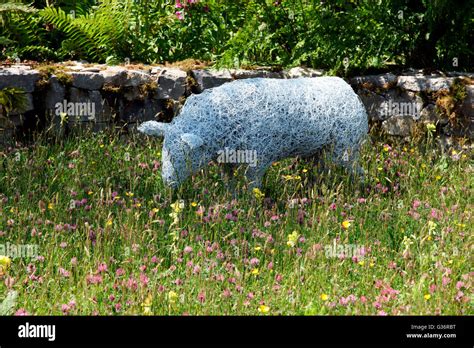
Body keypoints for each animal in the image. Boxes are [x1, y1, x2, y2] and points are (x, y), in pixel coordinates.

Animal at [137, 77, 366, 189]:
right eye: (164, 152)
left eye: (183, 155)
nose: (167, 183)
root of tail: (349, 90)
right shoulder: (227, 162)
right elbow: (229, 185)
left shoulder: (259, 158)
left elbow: (252, 186)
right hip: (317, 151)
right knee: (320, 171)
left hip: (344, 148)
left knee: (356, 169)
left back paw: (361, 191)